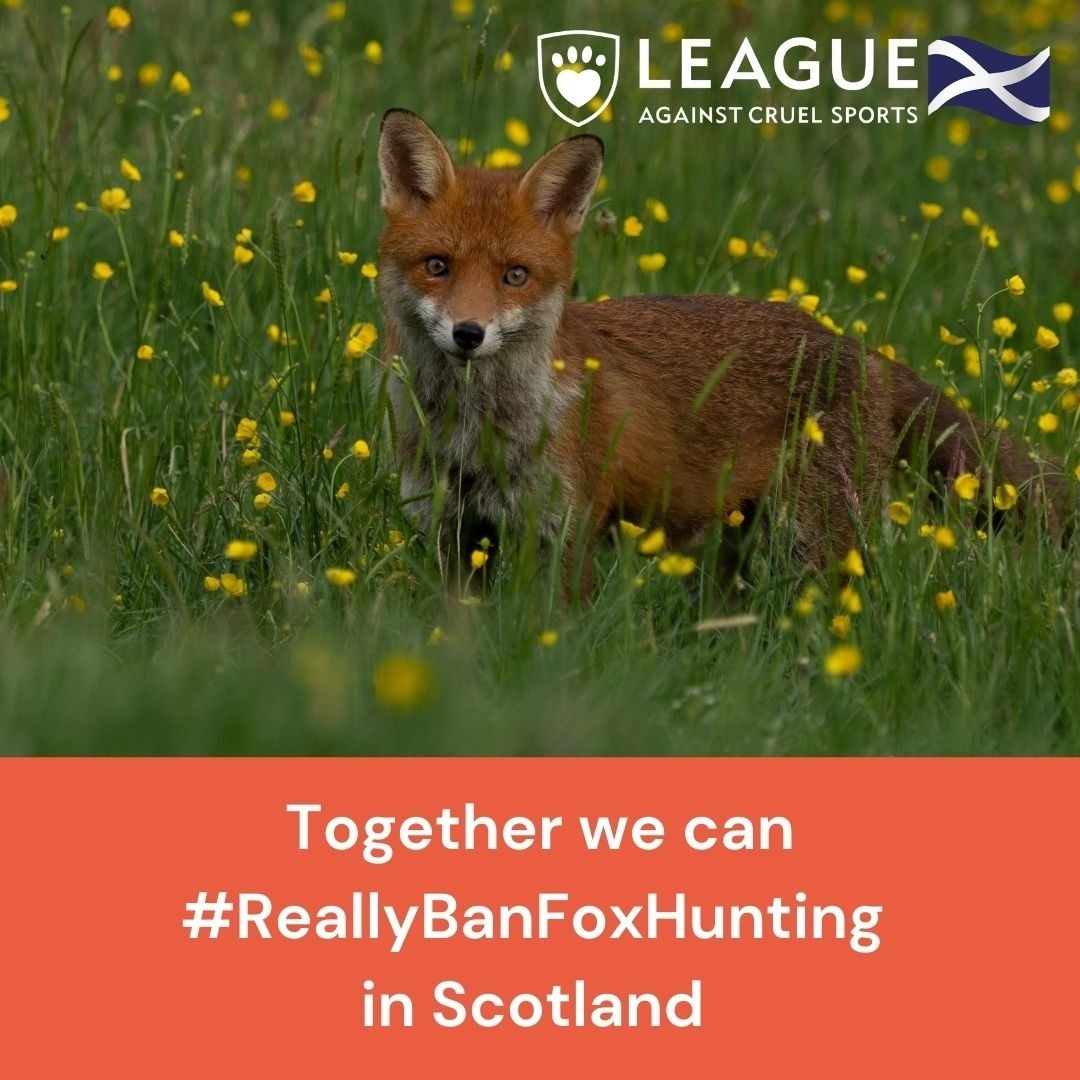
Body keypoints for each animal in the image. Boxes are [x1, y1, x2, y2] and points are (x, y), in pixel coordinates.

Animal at [376, 108, 1066, 595]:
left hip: (819, 543)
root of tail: (855, 345)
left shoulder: (565, 532)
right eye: (437, 266)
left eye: (514, 276)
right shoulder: (452, 534)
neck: (477, 437)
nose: (469, 333)